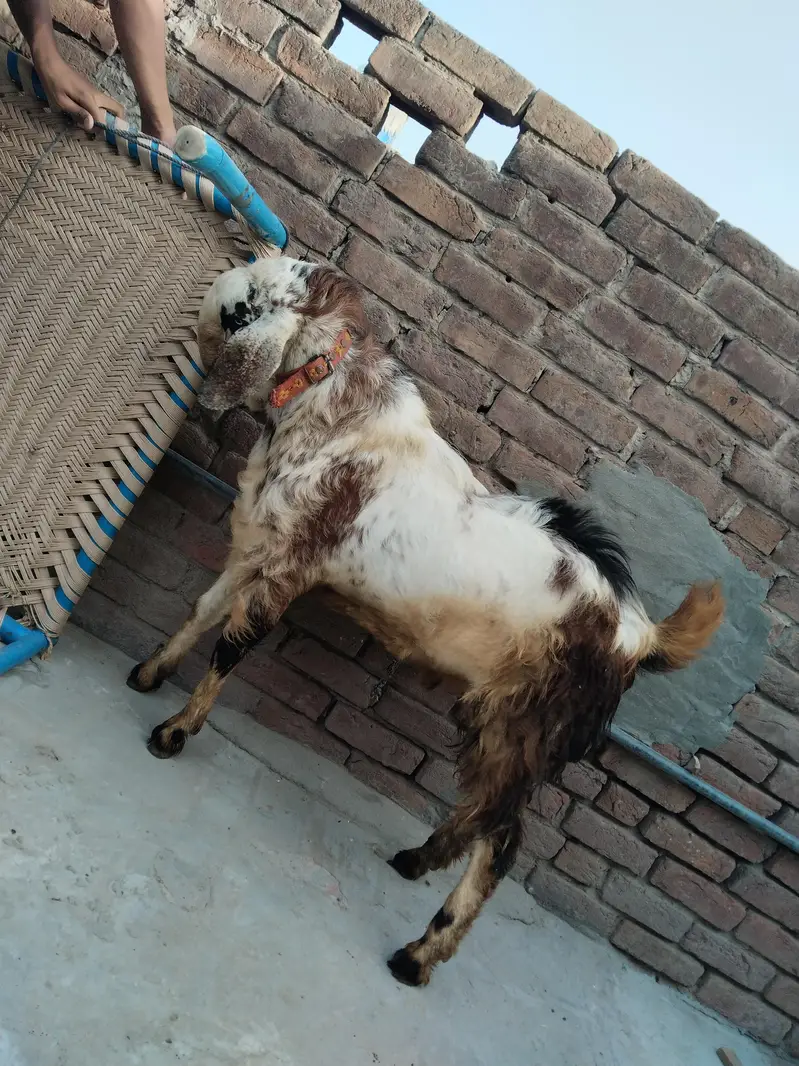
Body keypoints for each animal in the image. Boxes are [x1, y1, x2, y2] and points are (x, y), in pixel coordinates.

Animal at [128, 255, 725, 987]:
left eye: (248, 304)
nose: (205, 316)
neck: (339, 421)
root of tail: (637, 636)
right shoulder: (256, 543)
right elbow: (202, 608)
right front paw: (149, 671)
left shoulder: (288, 565)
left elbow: (232, 647)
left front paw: (174, 732)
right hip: (500, 722)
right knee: (478, 817)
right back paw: (415, 861)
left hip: (525, 727)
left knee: (503, 843)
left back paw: (417, 956)